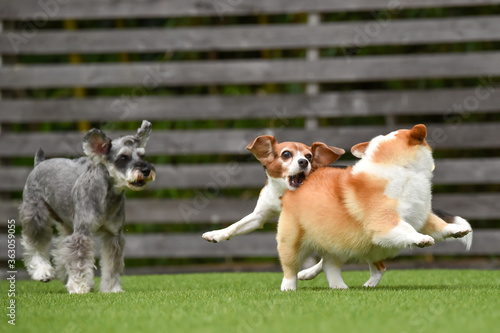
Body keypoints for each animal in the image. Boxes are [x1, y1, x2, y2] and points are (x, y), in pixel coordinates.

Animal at [20, 119, 156, 294]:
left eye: (142, 155)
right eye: (123, 157)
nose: (146, 169)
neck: (107, 195)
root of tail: (39, 164)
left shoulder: (114, 236)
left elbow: (112, 265)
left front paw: (111, 288)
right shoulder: (82, 234)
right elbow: (79, 259)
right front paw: (79, 286)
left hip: (67, 223)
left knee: (61, 248)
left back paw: (66, 276)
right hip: (35, 216)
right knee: (34, 243)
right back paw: (42, 272)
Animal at [201, 134, 346, 241]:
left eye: (309, 156)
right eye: (286, 154)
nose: (304, 162)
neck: (282, 193)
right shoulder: (259, 216)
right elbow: (237, 224)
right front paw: (217, 233)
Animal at [278, 124, 472, 290]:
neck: (401, 168)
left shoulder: (420, 216)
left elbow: (440, 225)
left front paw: (456, 229)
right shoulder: (385, 221)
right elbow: (407, 229)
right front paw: (421, 239)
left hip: (354, 244)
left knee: (342, 265)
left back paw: (345, 284)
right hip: (293, 242)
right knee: (290, 268)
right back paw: (289, 287)